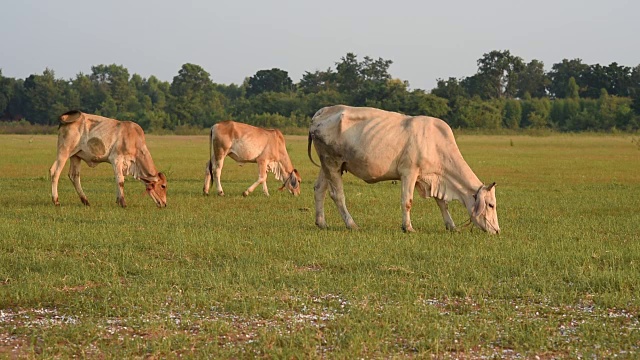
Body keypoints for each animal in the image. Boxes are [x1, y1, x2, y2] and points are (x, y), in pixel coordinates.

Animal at [308, 105, 500, 233]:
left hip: (329, 165)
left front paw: (451, 226)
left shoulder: (434, 178)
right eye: (491, 204)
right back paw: (351, 224)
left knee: (319, 189)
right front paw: (408, 227)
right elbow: (407, 201)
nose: (497, 231)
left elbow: (442, 203)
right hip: (332, 162)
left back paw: (321, 222)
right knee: (337, 195)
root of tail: (322, 112)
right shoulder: (409, 172)